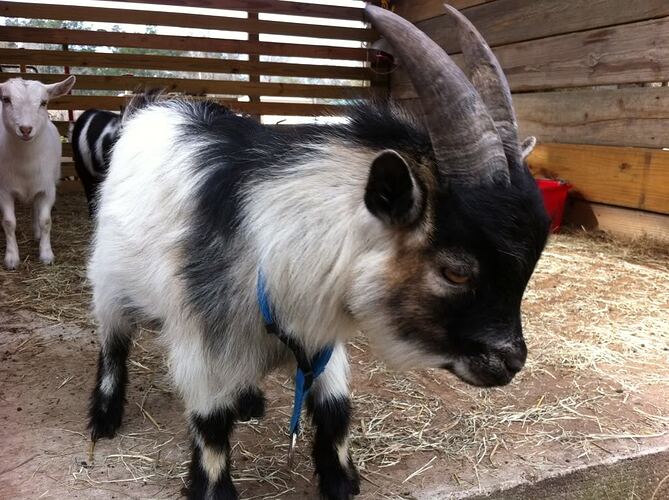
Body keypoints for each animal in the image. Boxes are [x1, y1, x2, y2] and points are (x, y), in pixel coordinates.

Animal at [0, 75, 76, 270]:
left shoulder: (47, 189)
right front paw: (11, 258)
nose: (26, 129)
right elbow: (9, 222)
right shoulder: (3, 190)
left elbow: (45, 221)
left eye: (44, 102)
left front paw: (46, 255)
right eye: (6, 99)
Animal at [87, 5, 550, 500]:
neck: (270, 247)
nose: (511, 362)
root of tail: (151, 105)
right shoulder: (201, 337)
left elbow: (334, 406)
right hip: (109, 278)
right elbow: (210, 423)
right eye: (457, 272)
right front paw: (214, 489)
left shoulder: (318, 334)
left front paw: (341, 479)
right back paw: (105, 416)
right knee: (113, 341)